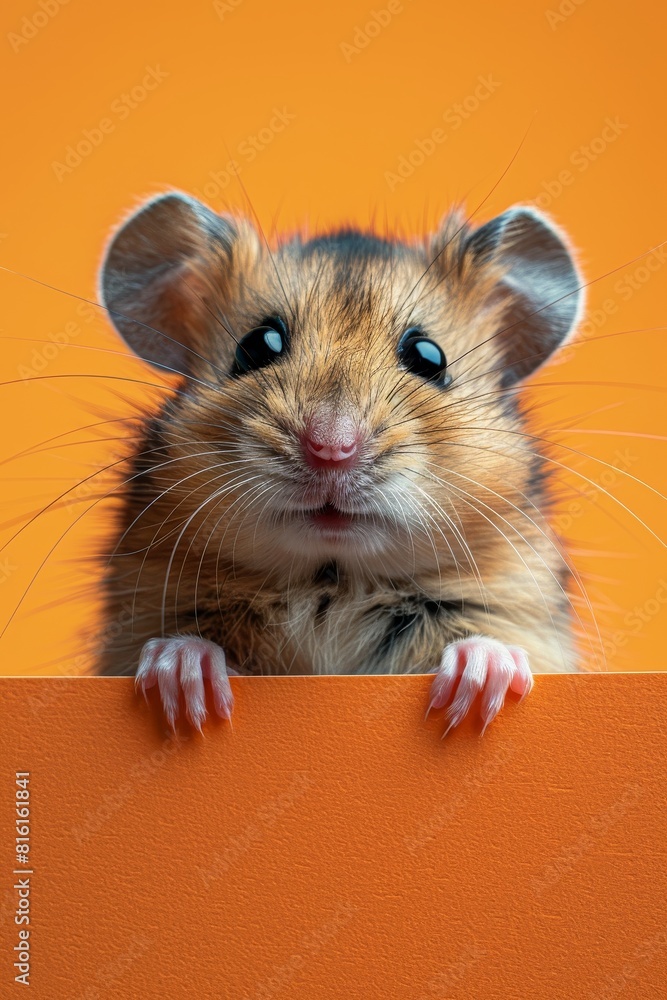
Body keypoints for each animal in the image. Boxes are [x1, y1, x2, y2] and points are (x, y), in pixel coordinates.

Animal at [95, 189, 584, 736]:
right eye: (256, 346)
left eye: (429, 357)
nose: (331, 448)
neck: (333, 579)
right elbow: (183, 639)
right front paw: (184, 677)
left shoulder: (517, 602)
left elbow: (493, 638)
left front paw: (476, 683)